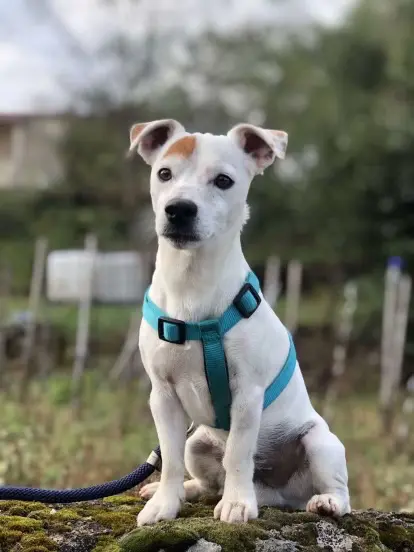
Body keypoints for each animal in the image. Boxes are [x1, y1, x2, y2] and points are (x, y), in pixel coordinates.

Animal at [128, 119, 350, 528]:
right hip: (197, 442)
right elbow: (169, 459)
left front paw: (236, 504)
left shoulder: (247, 394)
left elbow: (237, 454)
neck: (192, 284)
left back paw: (325, 502)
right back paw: (188, 491)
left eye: (223, 181)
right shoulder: (163, 396)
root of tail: (277, 494)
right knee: (202, 478)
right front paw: (165, 504)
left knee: (338, 490)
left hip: (319, 441)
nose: (179, 209)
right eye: (164, 173)